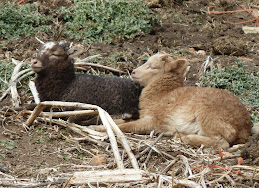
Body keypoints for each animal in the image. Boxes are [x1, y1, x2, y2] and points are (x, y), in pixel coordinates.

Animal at [95, 52, 252, 148]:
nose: (133, 72)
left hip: (209, 116)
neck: (162, 93)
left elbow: (126, 126)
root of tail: (245, 127)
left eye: (153, 67)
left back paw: (184, 137)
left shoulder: (154, 121)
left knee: (222, 143)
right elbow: (119, 121)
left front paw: (98, 129)